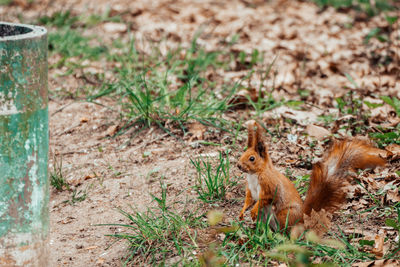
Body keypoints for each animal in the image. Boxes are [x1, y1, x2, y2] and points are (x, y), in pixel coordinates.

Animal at [236, 121, 386, 232]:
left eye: (252, 158)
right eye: (243, 153)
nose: (238, 165)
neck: (255, 174)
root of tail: (303, 219)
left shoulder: (269, 185)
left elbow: (265, 198)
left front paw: (253, 210)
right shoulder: (250, 189)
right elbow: (248, 199)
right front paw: (242, 212)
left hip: (285, 214)